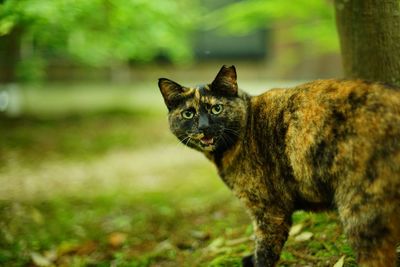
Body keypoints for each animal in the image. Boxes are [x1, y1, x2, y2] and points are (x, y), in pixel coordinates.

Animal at [157, 65, 400, 267]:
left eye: (216, 109)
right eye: (189, 113)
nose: (204, 127)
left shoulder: (269, 211)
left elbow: (265, 251)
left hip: (361, 212)